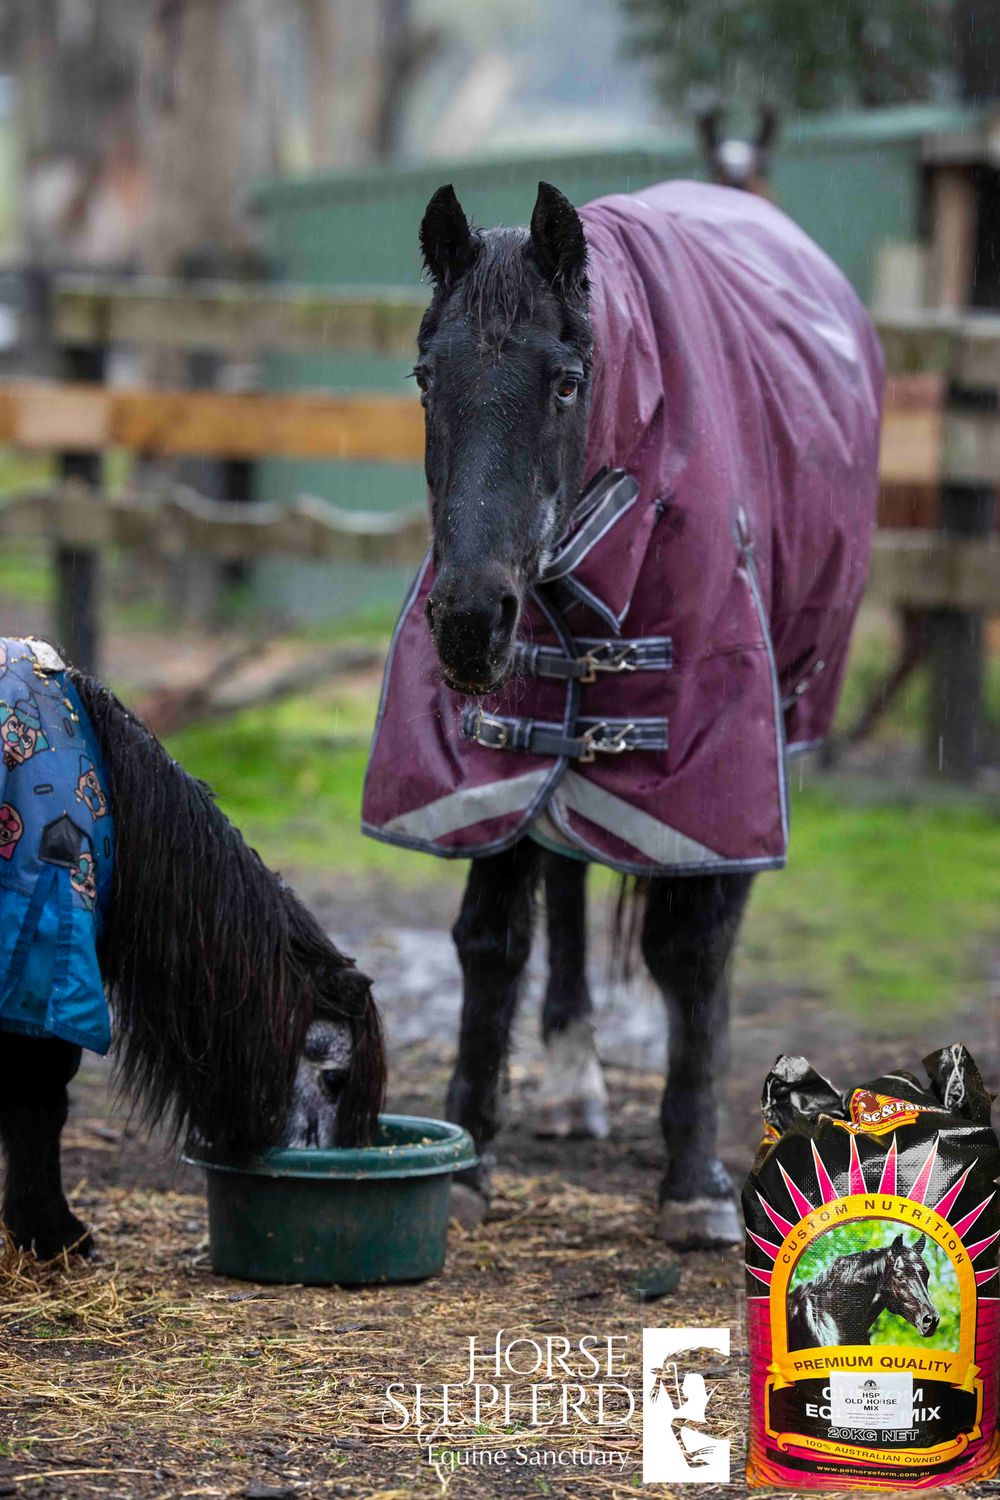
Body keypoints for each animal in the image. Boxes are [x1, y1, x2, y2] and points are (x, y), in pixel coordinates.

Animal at [361, 179, 882, 1246]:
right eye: (427, 378)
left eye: (567, 382)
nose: (469, 621)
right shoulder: (500, 755)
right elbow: (492, 942)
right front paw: (470, 1156)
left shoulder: (716, 762)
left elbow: (690, 951)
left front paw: (695, 1181)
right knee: (563, 876)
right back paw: (571, 1081)